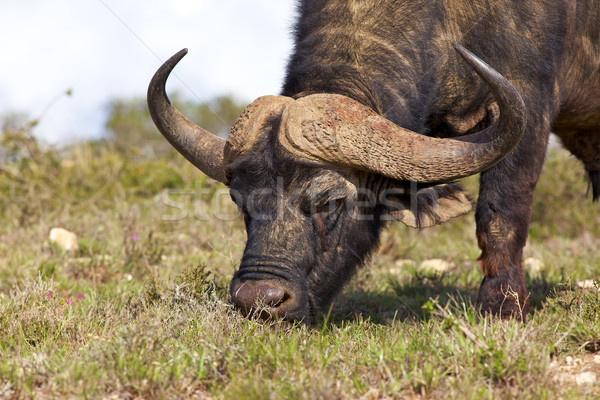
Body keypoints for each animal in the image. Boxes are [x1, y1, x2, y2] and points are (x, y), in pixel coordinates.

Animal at [149, 0, 600, 322]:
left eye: (330, 201)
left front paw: (502, 308)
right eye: (239, 201)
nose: (259, 301)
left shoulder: (530, 102)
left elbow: (501, 213)